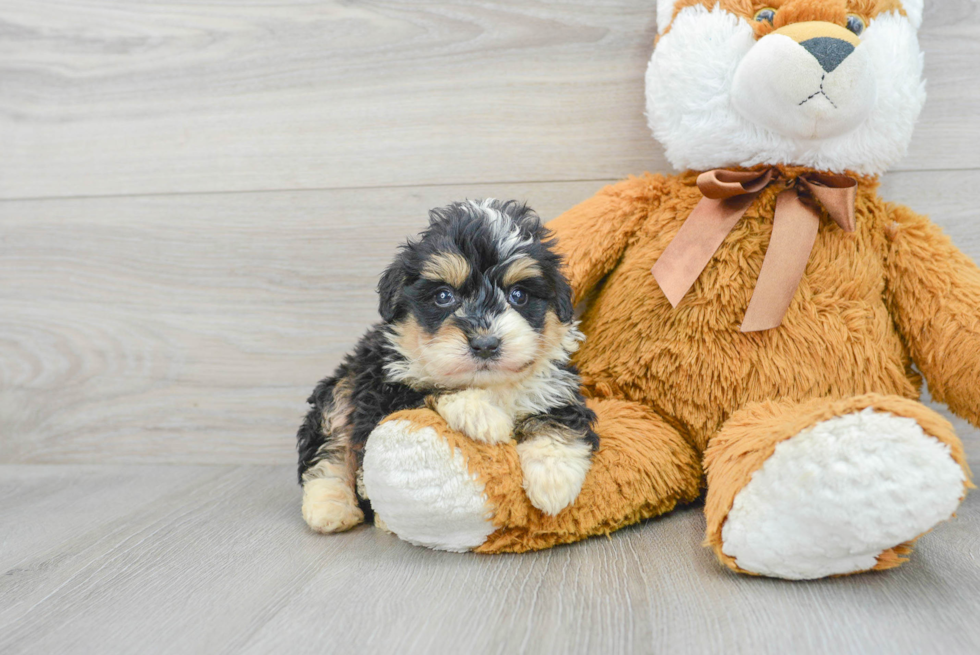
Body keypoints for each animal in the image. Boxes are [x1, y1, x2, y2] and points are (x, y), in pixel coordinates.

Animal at [296, 199, 596, 532]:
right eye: (443, 296)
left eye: (519, 295)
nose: (485, 344)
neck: (490, 383)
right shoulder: (382, 392)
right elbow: (433, 389)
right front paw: (483, 415)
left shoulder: (555, 386)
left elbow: (559, 417)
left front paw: (554, 479)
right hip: (341, 389)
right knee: (328, 452)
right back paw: (331, 509)